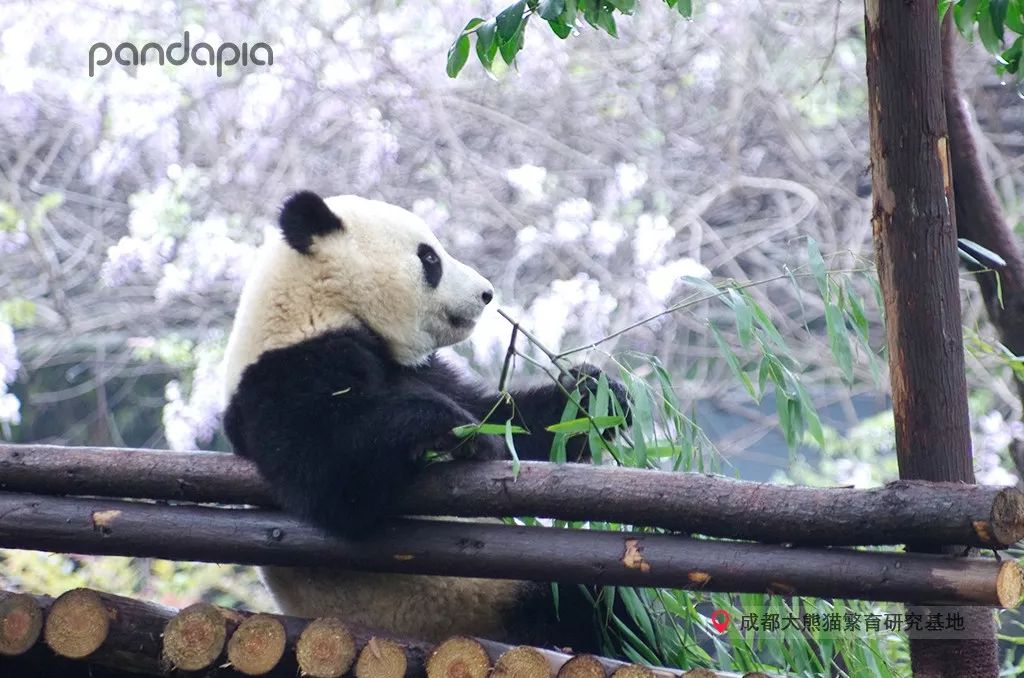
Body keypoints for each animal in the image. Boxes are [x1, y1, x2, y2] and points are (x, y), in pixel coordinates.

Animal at [220, 191, 626, 655]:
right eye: (429, 258)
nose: (486, 293)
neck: (319, 304)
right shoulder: (282, 375)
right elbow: (329, 470)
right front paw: (452, 430)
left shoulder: (421, 367)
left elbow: (508, 422)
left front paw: (594, 394)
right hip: (473, 598)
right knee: (588, 604)